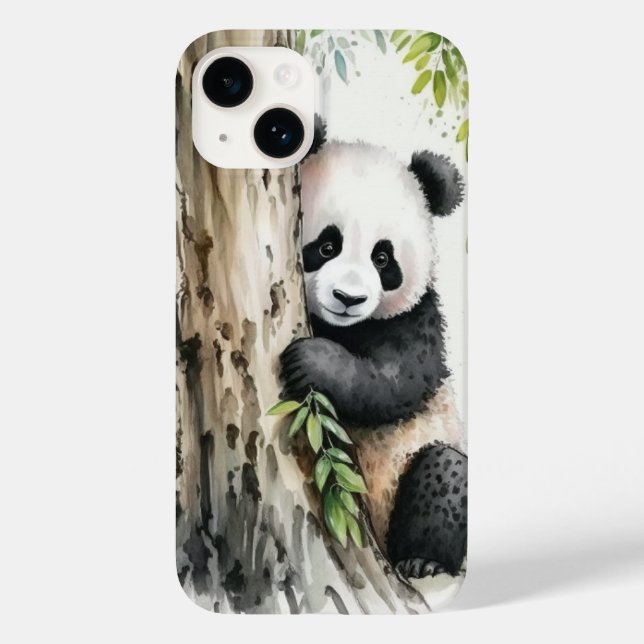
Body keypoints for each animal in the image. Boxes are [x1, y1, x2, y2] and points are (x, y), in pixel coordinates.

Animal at [279, 128, 467, 580]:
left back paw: (424, 560)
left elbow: (394, 383)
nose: (348, 298)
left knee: (446, 473)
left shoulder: (417, 320)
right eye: (327, 246)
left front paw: (312, 361)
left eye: (383, 258)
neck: (343, 328)